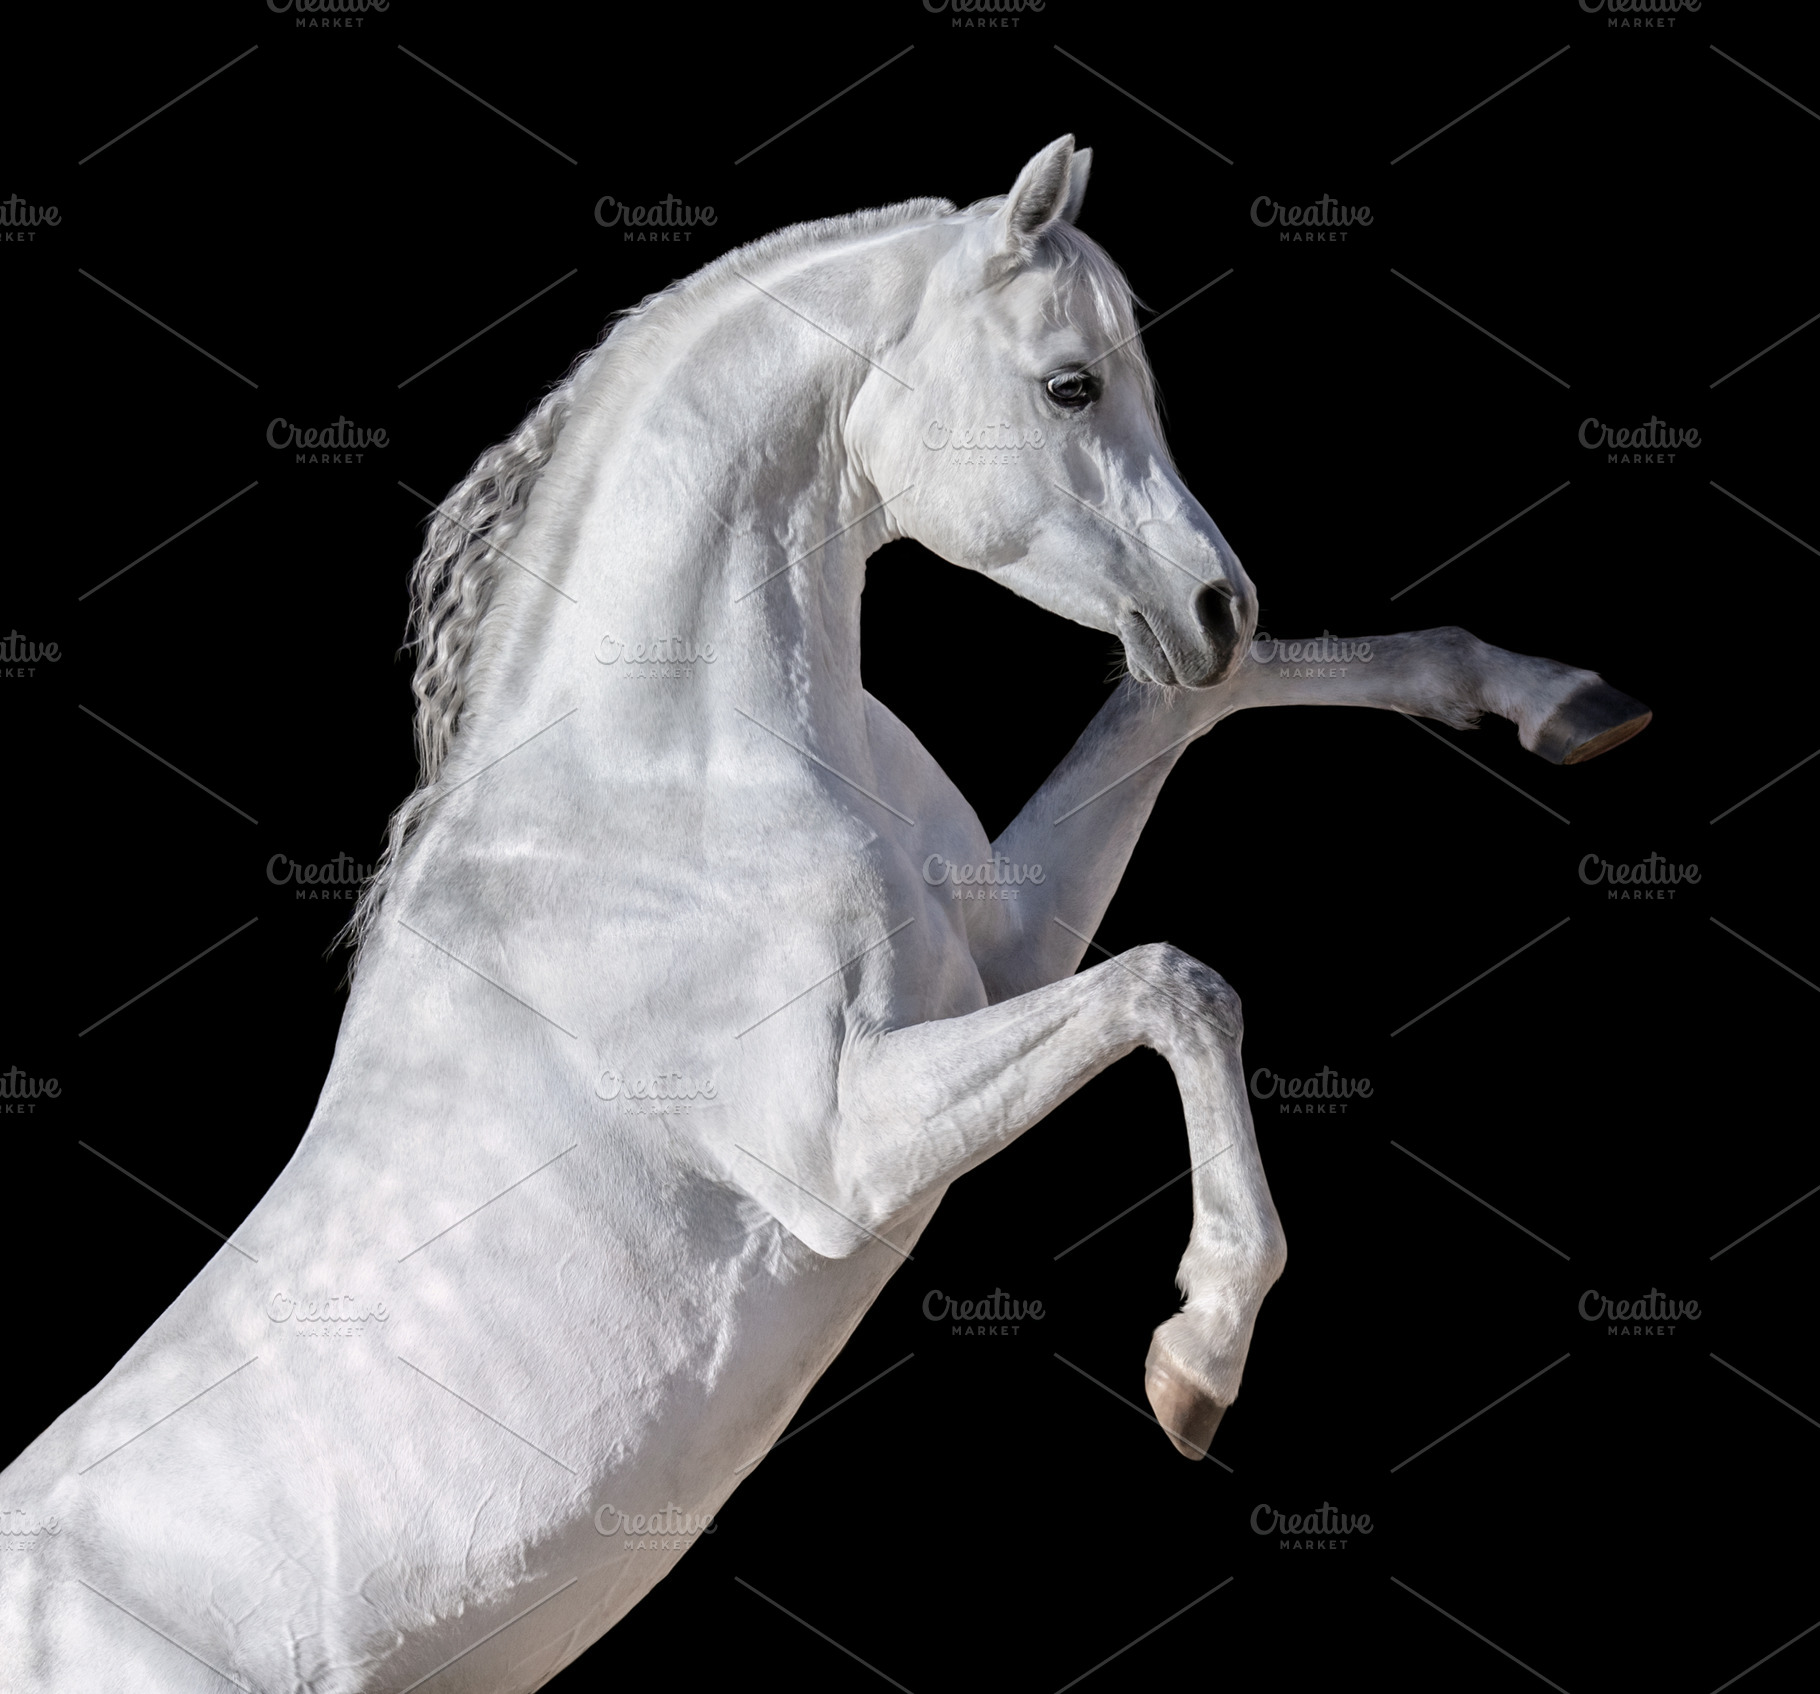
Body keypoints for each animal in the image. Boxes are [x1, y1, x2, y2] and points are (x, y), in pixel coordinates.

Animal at [0, 136, 1649, 1691]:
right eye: (1071, 384)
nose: (1217, 604)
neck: (675, 779)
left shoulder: (998, 953)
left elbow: (1176, 723)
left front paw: (1555, 701)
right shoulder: (841, 1147)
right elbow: (1175, 983)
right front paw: (1199, 1351)